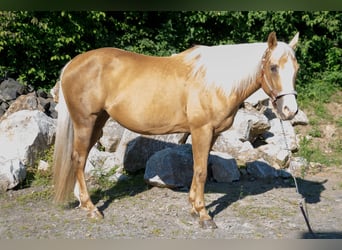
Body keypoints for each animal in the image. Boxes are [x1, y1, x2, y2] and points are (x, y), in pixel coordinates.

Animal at [53, 31, 300, 229]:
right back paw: (91, 208)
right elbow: (201, 171)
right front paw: (203, 215)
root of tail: (72, 64)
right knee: (78, 158)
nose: (290, 110)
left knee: (81, 158)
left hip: (98, 122)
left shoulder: (212, 134)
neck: (215, 82)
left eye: (296, 69)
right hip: (85, 122)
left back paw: (83, 202)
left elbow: (198, 169)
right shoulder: (202, 130)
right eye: (273, 67)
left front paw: (193, 209)